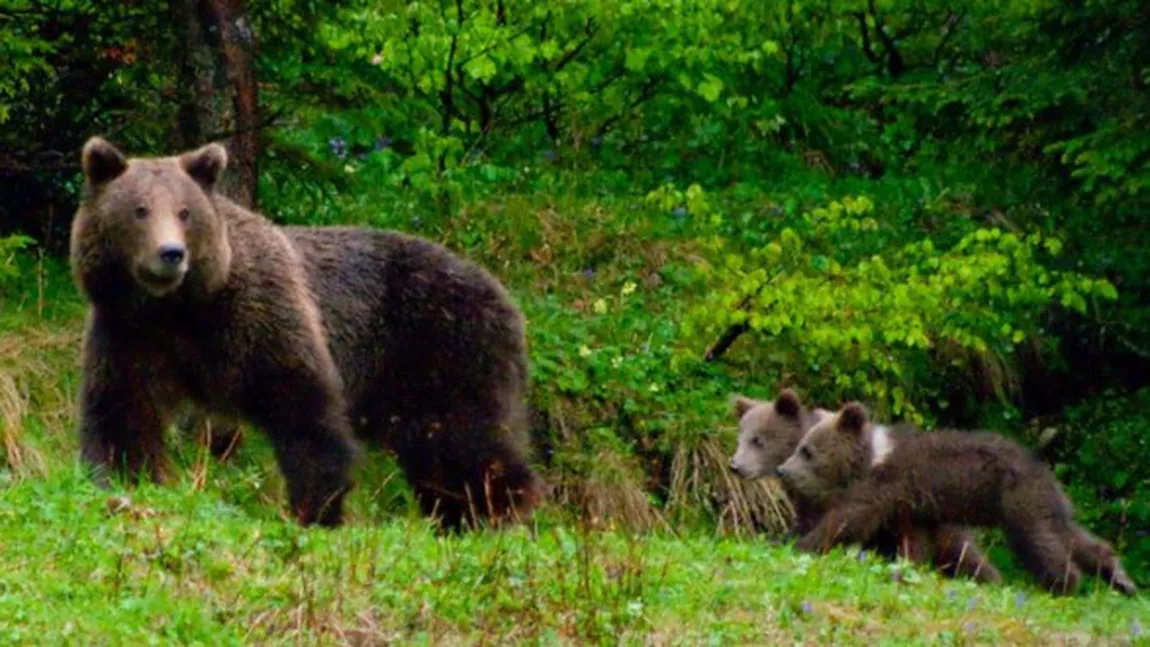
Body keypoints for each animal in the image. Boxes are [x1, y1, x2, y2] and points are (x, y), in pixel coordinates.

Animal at [777, 404, 1136, 597]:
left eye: (807, 450)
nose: (782, 470)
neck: (870, 459)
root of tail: (1043, 467)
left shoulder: (888, 484)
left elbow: (850, 517)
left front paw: (800, 541)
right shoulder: (915, 507)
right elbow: (920, 543)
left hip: (1016, 500)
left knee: (1040, 541)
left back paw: (1062, 583)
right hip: (1043, 502)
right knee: (1069, 533)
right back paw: (1120, 577)